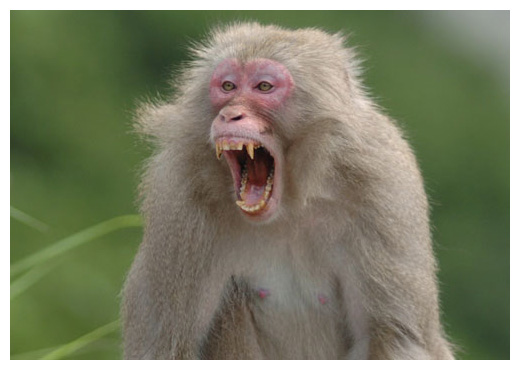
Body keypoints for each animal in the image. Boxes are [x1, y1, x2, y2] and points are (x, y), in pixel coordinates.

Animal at [122, 22, 456, 358]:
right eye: (228, 86)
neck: (290, 205)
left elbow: (392, 335)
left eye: (264, 87)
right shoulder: (178, 194)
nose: (230, 114)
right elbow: (167, 345)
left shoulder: (384, 182)